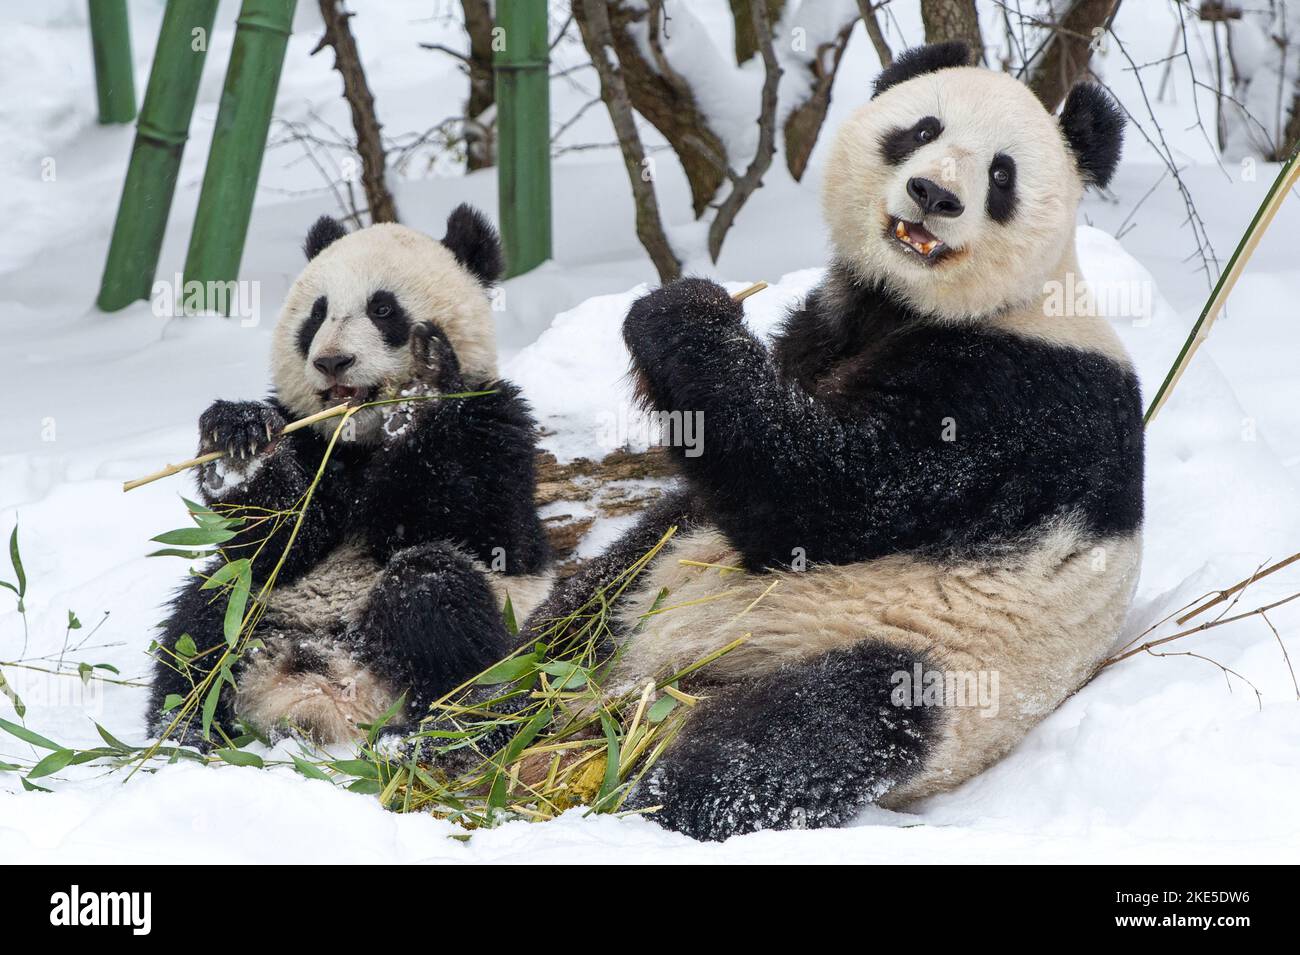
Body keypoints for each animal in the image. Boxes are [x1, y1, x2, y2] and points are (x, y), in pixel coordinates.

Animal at [148, 205, 552, 746]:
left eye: (383, 310)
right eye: (316, 314)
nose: (332, 361)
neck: (361, 439)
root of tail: (331, 695)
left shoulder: (496, 425)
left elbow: (483, 524)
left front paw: (424, 389)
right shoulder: (309, 439)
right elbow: (279, 543)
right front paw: (236, 442)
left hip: (486, 637)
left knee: (433, 591)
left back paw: (438, 723)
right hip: (261, 617)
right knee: (206, 614)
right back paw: (184, 730)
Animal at [522, 43, 1142, 841]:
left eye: (1002, 175)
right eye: (922, 129)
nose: (934, 195)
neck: (910, 305)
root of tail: (662, 675)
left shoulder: (1022, 401)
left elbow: (830, 498)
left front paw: (684, 311)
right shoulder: (826, 329)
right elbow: (736, 463)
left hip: (928, 660)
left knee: (788, 743)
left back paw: (641, 802)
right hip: (651, 583)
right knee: (573, 619)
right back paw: (460, 728)